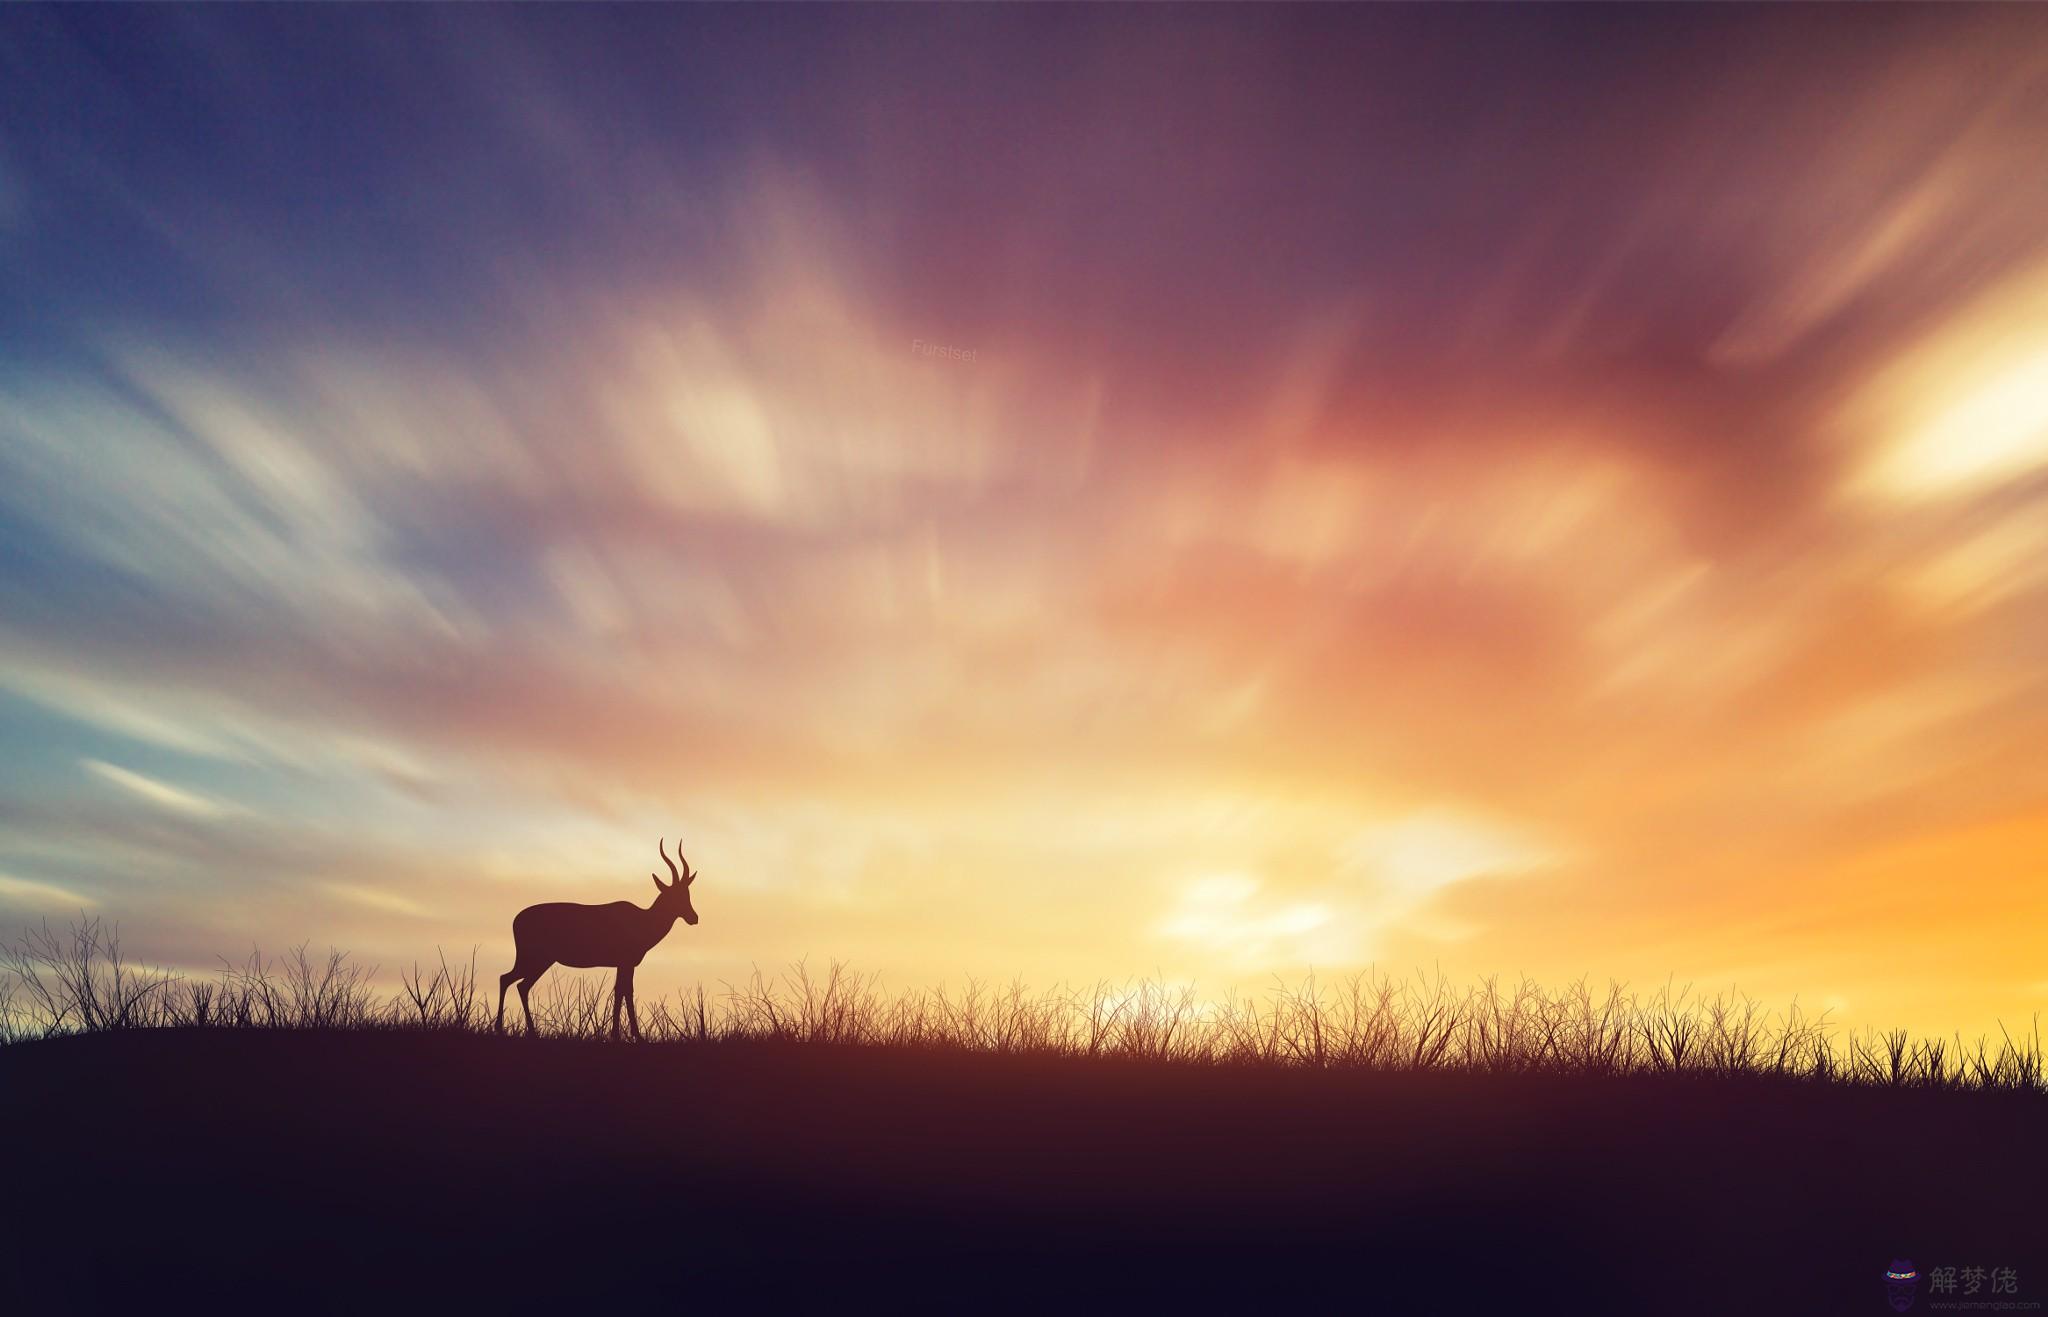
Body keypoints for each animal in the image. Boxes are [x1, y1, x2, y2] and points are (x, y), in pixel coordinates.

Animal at [493, 835, 696, 1040]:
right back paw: (503, 1028)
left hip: (541, 961)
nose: (694, 917)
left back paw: (525, 1030)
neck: (643, 920)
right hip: (535, 958)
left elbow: (620, 991)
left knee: (518, 984)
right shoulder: (626, 962)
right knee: (509, 980)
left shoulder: (622, 964)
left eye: (687, 894)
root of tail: (516, 920)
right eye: (675, 895)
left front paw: (617, 1034)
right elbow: (626, 992)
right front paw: (634, 1036)